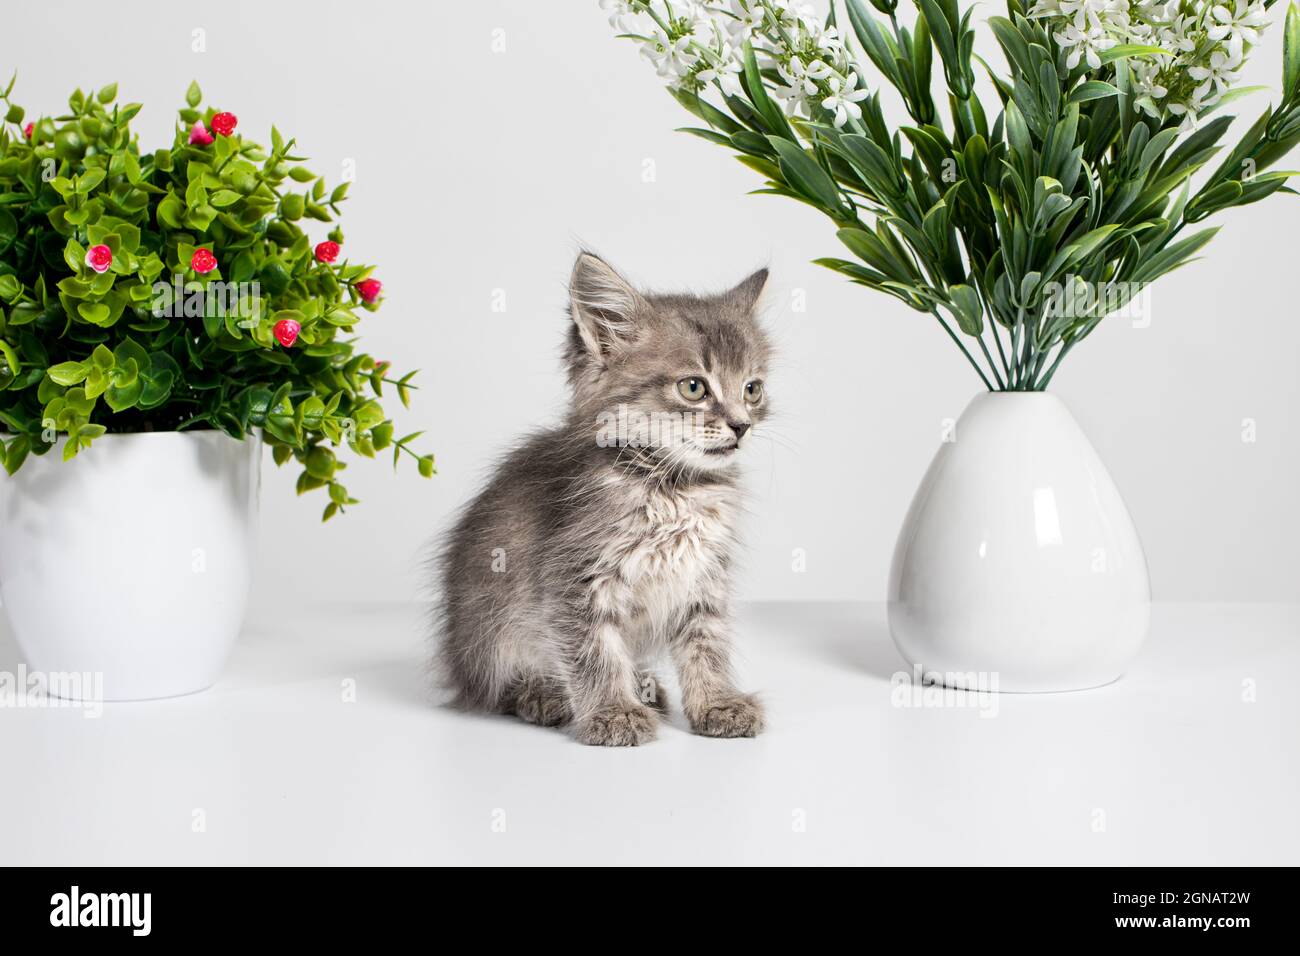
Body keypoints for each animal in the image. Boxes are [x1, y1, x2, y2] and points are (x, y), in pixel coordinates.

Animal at [436, 254, 769, 749]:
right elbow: (595, 651)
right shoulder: (573, 578)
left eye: (752, 389)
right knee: (497, 687)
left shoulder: (703, 577)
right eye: (693, 387)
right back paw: (544, 693)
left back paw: (643, 685)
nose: (741, 426)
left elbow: (706, 643)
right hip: (488, 630)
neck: (672, 488)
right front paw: (614, 712)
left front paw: (716, 703)